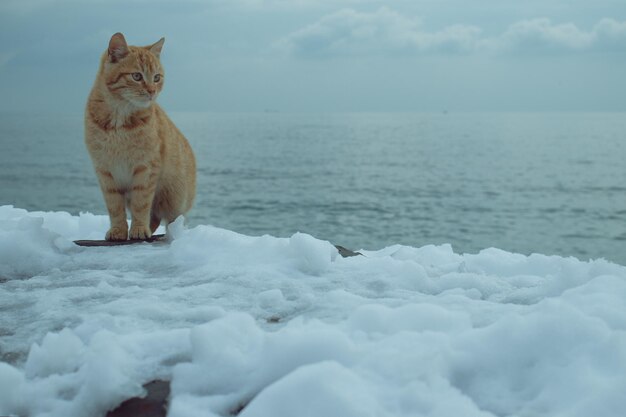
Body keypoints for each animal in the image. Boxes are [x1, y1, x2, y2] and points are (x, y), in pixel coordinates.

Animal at [84, 32, 194, 240]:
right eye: (136, 76)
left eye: (157, 77)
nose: (152, 91)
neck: (119, 117)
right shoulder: (105, 171)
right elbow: (114, 207)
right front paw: (119, 230)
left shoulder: (146, 168)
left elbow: (140, 204)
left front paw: (139, 229)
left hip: (174, 199)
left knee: (170, 220)